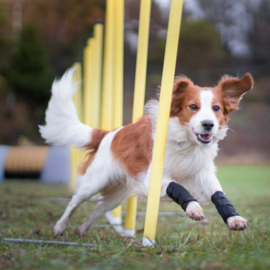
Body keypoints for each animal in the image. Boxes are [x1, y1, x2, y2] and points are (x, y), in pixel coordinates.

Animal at [38, 68, 253, 236]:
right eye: (193, 106)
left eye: (216, 108)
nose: (208, 124)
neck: (185, 143)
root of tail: (108, 134)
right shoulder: (154, 178)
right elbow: (177, 187)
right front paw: (193, 207)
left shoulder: (202, 172)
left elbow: (218, 194)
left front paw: (234, 218)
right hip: (94, 183)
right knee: (74, 201)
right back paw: (60, 227)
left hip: (118, 194)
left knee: (99, 209)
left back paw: (82, 230)